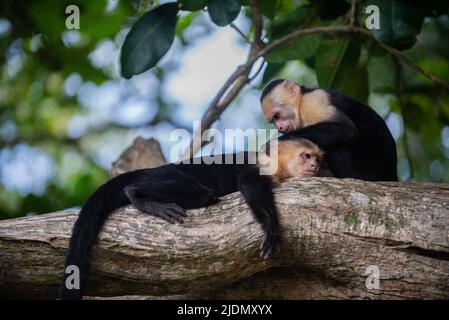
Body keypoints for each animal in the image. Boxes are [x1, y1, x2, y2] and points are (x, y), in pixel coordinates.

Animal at [61, 138, 324, 300]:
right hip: (166, 174)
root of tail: (153, 169)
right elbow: (249, 183)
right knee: (202, 193)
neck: (276, 168)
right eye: (306, 156)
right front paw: (270, 227)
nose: (314, 165)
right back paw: (137, 195)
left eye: (317, 159)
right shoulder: (257, 168)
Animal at [260, 79, 396, 181]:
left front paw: (273, 143)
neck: (300, 102)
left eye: (277, 116)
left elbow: (346, 128)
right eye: (273, 120)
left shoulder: (313, 101)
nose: (280, 128)